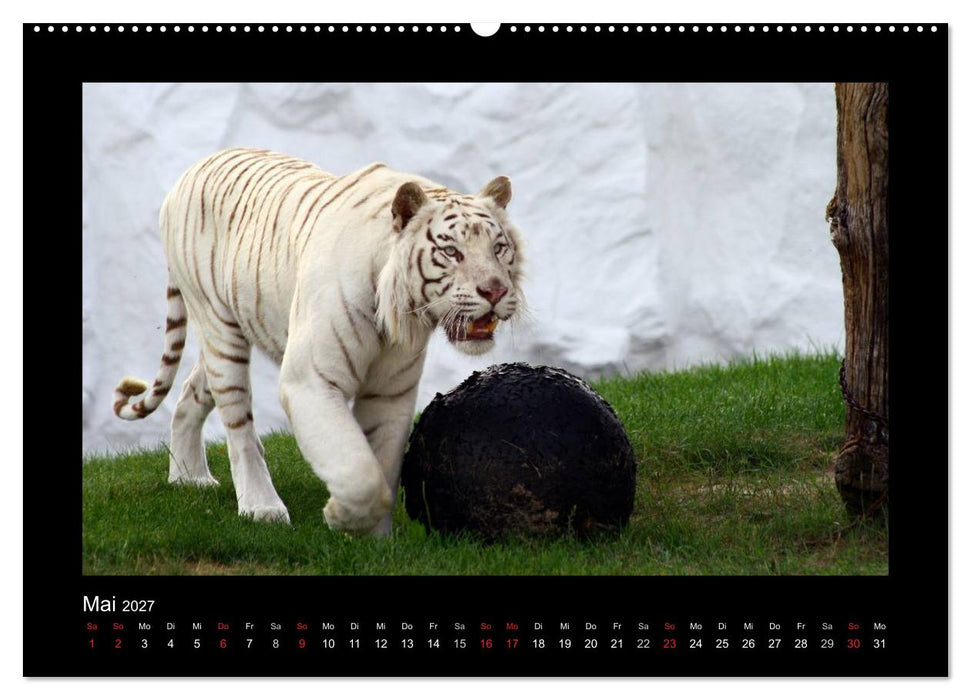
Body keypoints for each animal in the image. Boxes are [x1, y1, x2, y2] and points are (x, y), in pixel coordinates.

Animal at [112, 148, 525, 536]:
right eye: (451, 251)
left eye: (498, 248)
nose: (495, 290)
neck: (396, 313)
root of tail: (195, 167)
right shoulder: (310, 381)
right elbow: (360, 472)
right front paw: (341, 516)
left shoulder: (390, 392)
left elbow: (382, 465)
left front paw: (375, 540)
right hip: (220, 328)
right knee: (239, 425)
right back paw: (261, 507)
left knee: (190, 394)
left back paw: (189, 478)